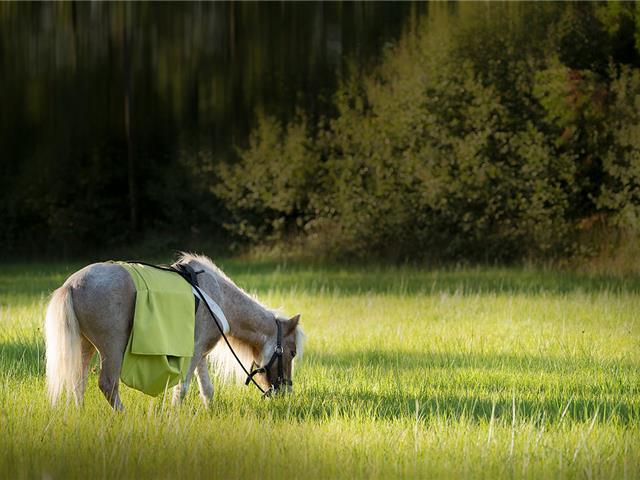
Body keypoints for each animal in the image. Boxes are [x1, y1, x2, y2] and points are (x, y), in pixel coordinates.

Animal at [44, 253, 304, 410]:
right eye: (291, 352)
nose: (285, 391)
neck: (217, 296)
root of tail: (71, 285)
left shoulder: (201, 354)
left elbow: (207, 389)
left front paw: (209, 411)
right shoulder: (194, 352)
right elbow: (183, 389)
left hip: (84, 345)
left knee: (78, 381)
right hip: (112, 347)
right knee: (108, 384)